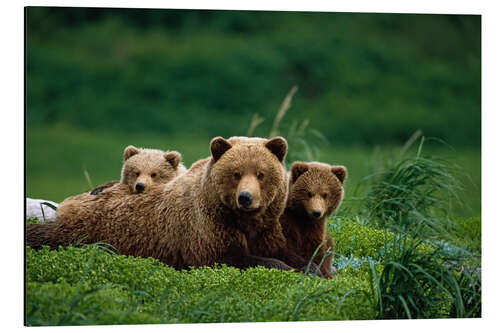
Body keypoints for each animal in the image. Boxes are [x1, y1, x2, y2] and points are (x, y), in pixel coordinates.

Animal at [26, 137, 312, 272]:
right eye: (236, 173)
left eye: (261, 174)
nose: (246, 198)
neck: (242, 220)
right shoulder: (205, 230)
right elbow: (228, 258)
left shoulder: (267, 229)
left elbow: (287, 252)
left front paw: (310, 269)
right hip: (84, 229)